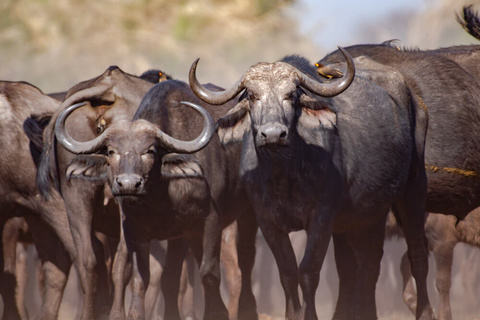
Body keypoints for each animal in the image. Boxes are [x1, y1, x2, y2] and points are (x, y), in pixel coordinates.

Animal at [52, 79, 258, 320]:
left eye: (150, 151)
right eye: (111, 152)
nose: (128, 184)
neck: (158, 199)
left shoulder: (210, 222)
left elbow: (208, 273)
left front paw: (217, 312)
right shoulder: (139, 231)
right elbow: (143, 279)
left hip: (248, 214)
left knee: (245, 259)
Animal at [188, 50, 436, 320]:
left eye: (291, 95)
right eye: (252, 96)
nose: (273, 134)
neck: (283, 175)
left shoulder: (322, 217)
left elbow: (308, 271)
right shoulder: (267, 221)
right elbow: (287, 272)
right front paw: (292, 314)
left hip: (413, 189)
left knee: (417, 255)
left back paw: (425, 312)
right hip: (369, 213)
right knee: (369, 262)